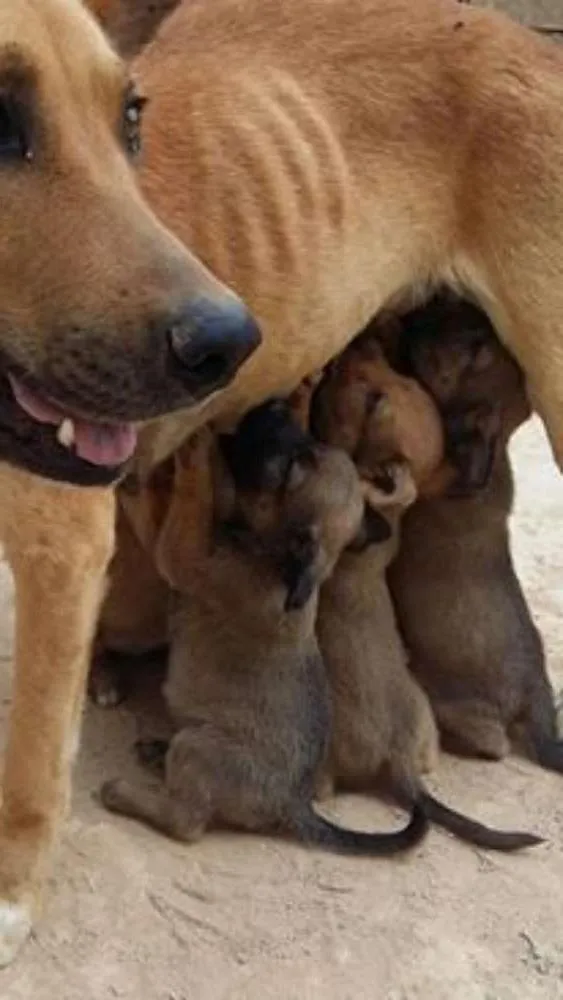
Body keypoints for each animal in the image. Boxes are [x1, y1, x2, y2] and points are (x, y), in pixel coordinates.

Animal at [101, 410, 428, 856]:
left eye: (295, 465)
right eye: (313, 445)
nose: (274, 408)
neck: (273, 557)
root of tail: (291, 803)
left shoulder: (182, 557)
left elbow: (185, 505)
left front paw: (192, 455)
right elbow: (206, 499)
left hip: (200, 747)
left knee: (186, 822)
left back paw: (126, 793)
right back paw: (155, 751)